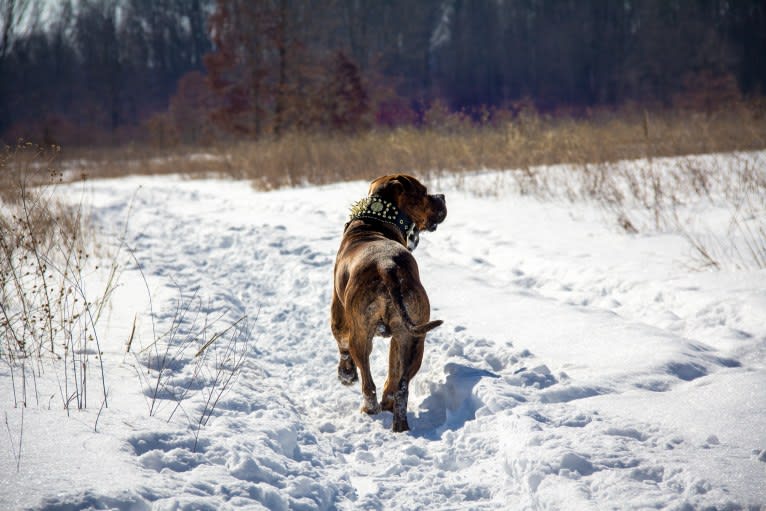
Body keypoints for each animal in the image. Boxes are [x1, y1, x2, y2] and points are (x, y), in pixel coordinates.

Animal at [332, 175, 450, 432]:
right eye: (423, 192)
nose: (442, 196)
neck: (373, 224)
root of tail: (388, 267)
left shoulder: (338, 313)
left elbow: (340, 342)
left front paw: (346, 375)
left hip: (361, 335)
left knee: (368, 383)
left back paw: (369, 409)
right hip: (412, 339)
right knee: (399, 387)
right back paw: (397, 420)